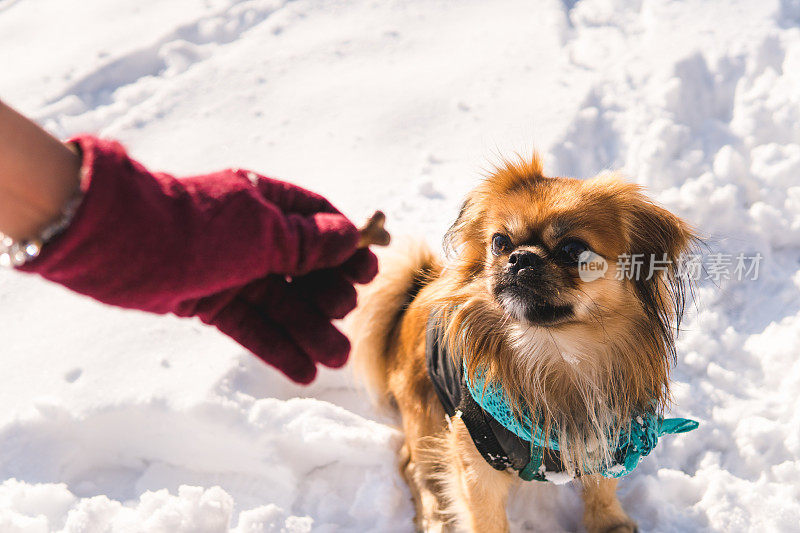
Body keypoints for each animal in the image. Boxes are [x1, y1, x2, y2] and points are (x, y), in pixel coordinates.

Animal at [350, 157, 692, 532]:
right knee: (415, 466)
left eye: (573, 250)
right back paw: (435, 517)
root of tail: (412, 295)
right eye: (500, 241)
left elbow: (602, 486)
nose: (520, 257)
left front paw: (609, 524)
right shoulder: (476, 460)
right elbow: (486, 519)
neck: (556, 353)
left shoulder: (610, 435)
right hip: (425, 409)